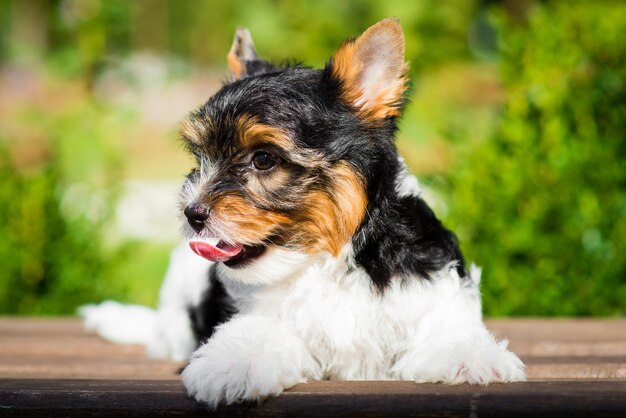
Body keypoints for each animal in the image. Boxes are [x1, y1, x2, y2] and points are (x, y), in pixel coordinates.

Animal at [81, 18, 520, 408]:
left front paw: (472, 357)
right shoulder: (260, 314)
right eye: (199, 157)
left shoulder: (430, 290)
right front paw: (232, 365)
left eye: (263, 159)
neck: (330, 261)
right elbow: (256, 335)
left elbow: (444, 330)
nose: (192, 213)